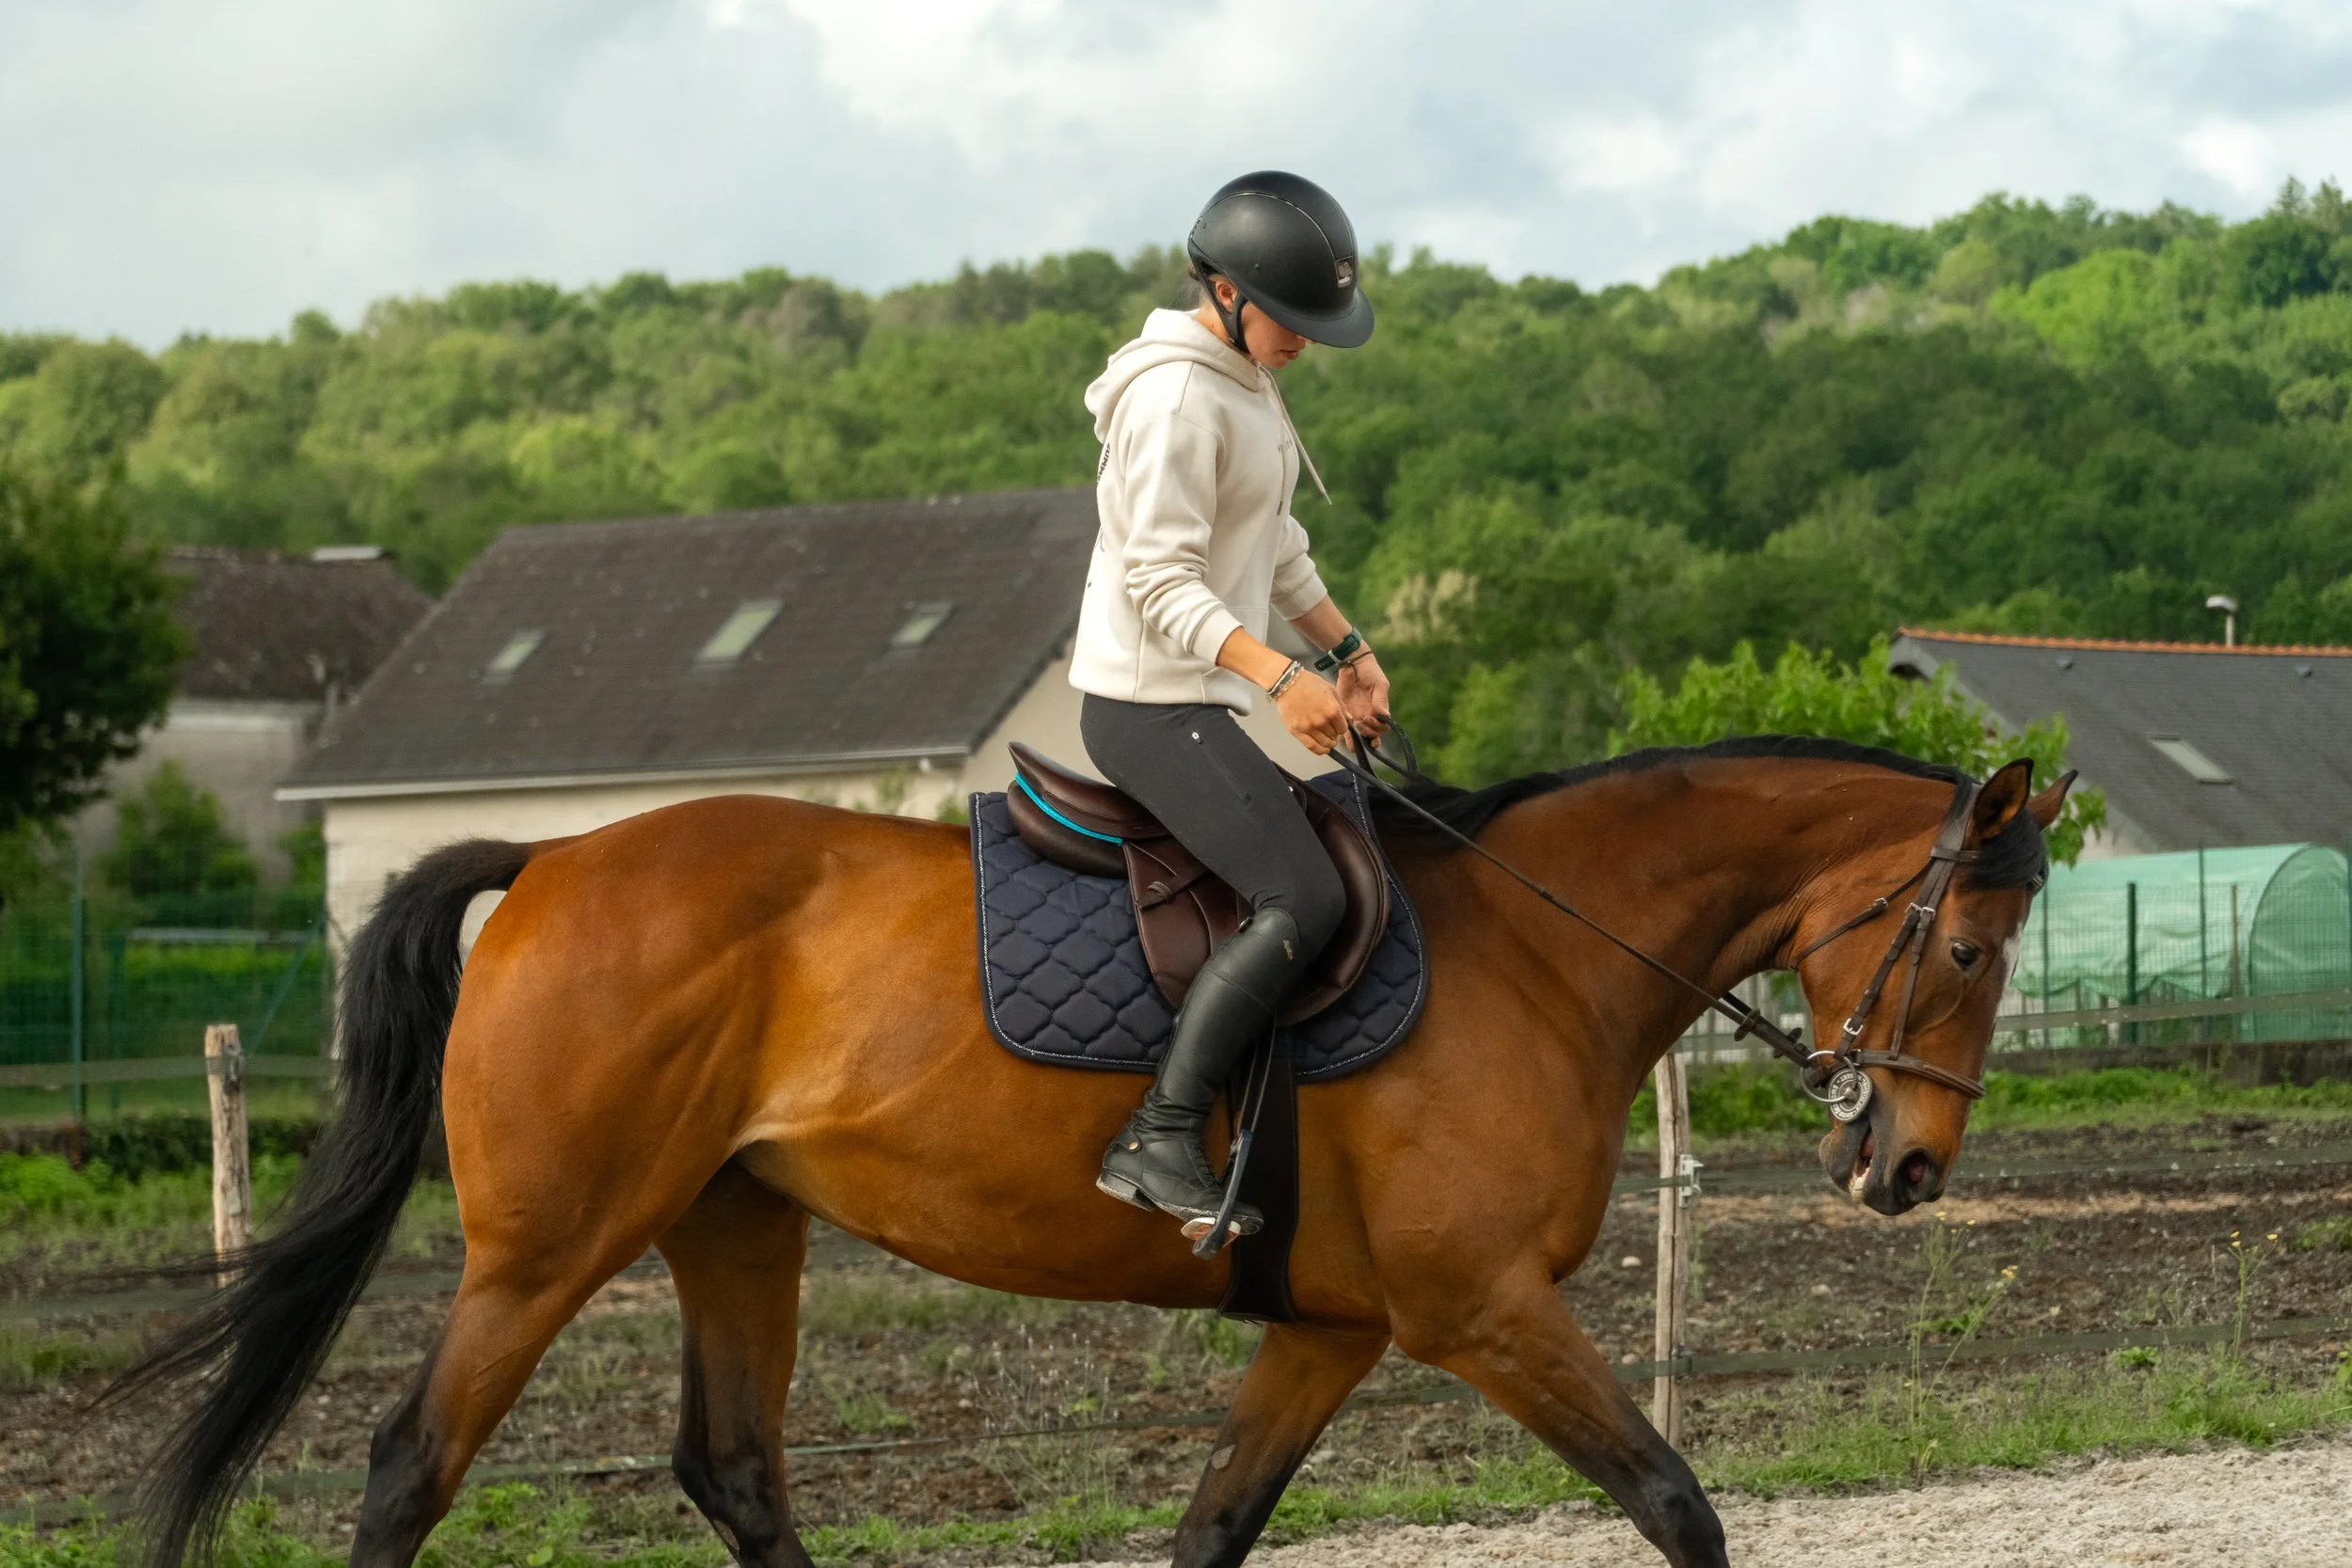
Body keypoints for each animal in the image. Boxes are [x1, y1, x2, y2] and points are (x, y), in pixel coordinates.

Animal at [110, 736, 2068, 1568]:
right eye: (1974, 950)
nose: (1907, 1171)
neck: (1538, 946)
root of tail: (555, 858)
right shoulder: (1483, 1311)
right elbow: (1677, 1503)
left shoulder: (1332, 1329)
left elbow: (1211, 1530)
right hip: (546, 1249)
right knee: (407, 1469)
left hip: (736, 1226)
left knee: (736, 1470)